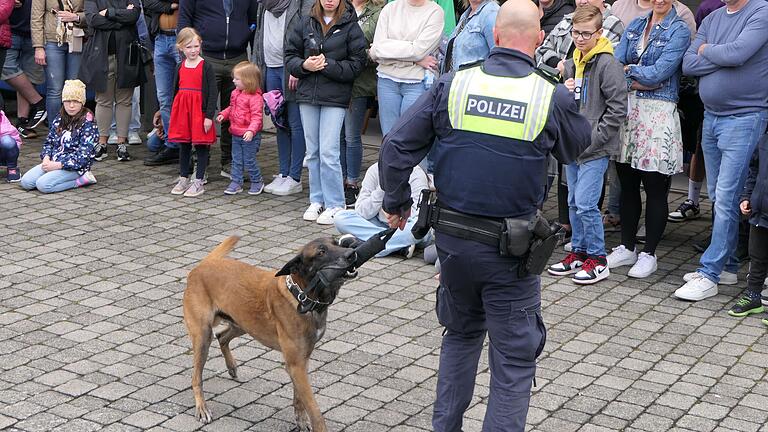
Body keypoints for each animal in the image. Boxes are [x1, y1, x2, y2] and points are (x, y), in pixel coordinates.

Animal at [183, 236, 356, 432]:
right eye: (321, 252)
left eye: (337, 243)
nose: (352, 254)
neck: (302, 296)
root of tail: (202, 265)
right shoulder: (296, 365)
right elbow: (314, 409)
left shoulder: (301, 362)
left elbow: (299, 399)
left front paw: (301, 421)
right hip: (203, 337)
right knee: (196, 378)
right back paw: (202, 408)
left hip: (243, 323)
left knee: (222, 337)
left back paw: (231, 366)